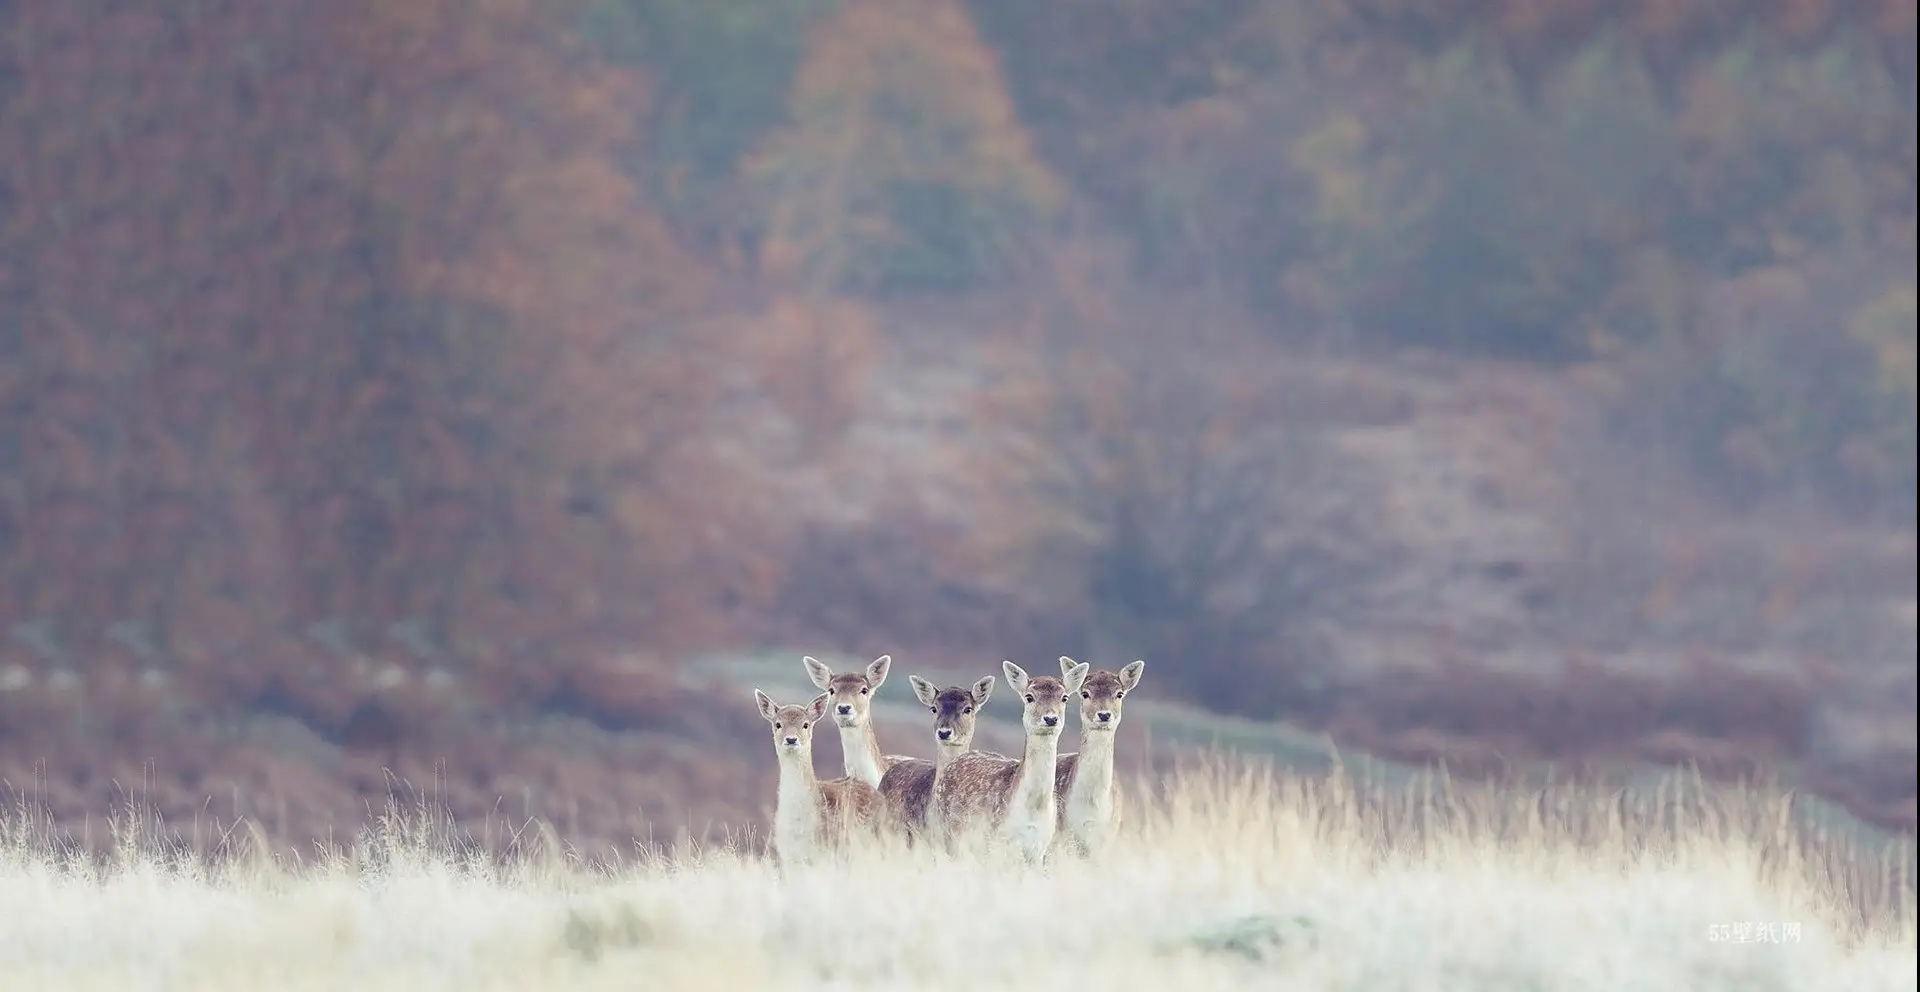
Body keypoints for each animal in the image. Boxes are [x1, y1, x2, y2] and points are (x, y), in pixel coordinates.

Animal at [933, 660, 1090, 863]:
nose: (1050, 718)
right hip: (946, 832)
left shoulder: (1040, 847)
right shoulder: (998, 839)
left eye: (1064, 698)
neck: (1033, 809)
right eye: (1029, 697)